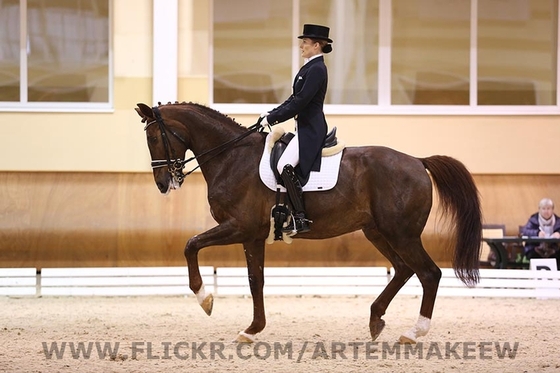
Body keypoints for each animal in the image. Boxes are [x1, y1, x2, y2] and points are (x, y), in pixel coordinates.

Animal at [135, 101, 482, 342]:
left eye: (152, 137)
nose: (163, 184)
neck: (231, 157)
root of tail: (418, 162)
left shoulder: (239, 227)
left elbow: (190, 244)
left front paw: (204, 298)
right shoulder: (252, 236)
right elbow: (255, 280)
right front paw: (252, 330)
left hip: (402, 234)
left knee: (429, 273)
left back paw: (413, 332)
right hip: (378, 232)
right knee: (404, 270)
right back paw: (375, 319)